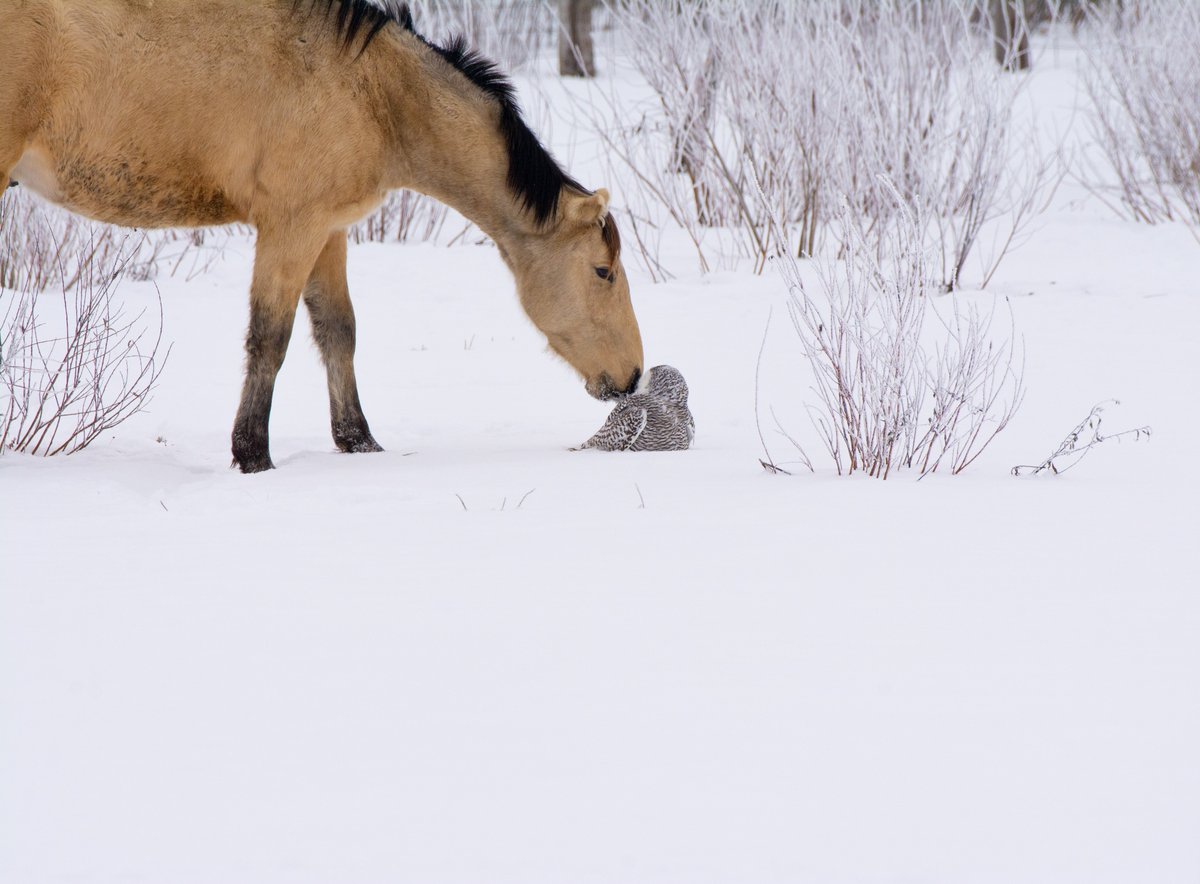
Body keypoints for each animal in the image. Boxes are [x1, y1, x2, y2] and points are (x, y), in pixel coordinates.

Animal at [0, 0, 644, 472]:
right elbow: (270, 338)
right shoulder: (292, 224)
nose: (634, 376)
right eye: (603, 271)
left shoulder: (329, 230)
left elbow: (339, 332)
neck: (374, 92)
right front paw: (252, 456)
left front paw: (358, 442)